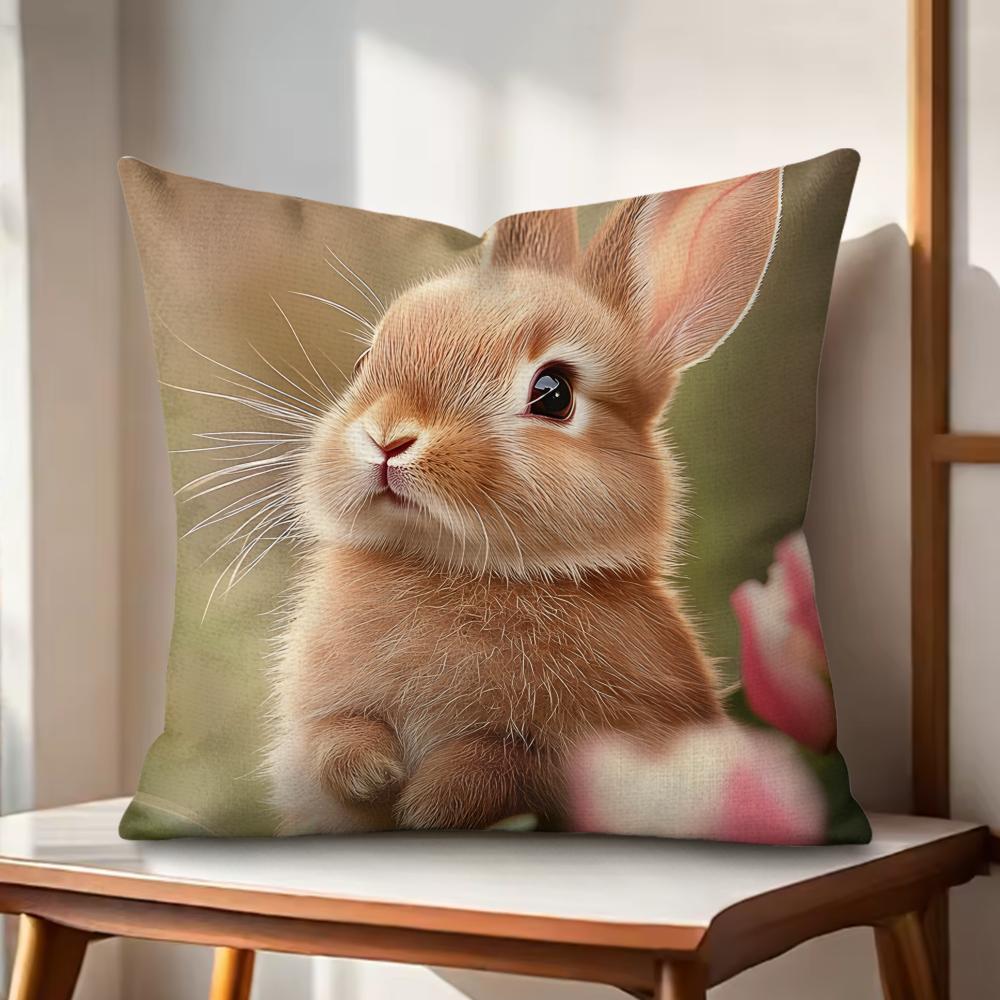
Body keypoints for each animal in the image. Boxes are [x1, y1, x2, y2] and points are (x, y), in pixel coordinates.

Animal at [267, 168, 783, 834]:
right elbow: (335, 739)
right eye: (364, 362)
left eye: (553, 393)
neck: (455, 569)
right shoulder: (318, 726)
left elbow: (506, 763)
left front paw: (428, 802)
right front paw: (376, 773)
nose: (388, 438)